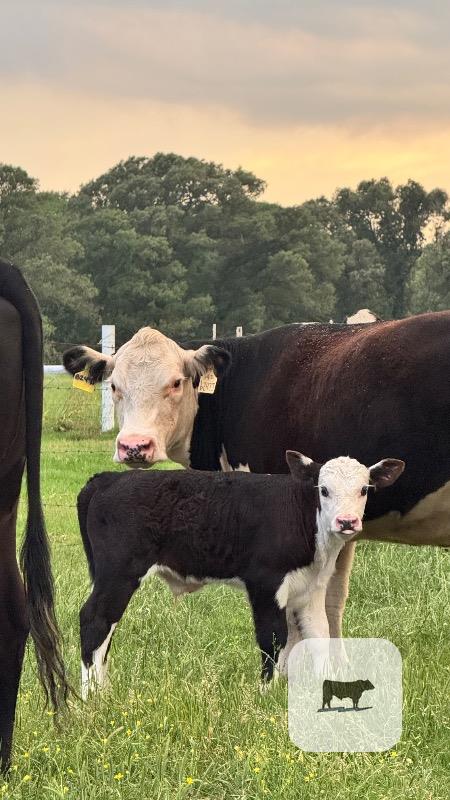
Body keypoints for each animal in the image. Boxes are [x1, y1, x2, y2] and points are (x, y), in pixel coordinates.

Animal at [76, 453, 404, 696]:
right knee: (95, 619)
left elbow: (319, 635)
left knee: (107, 629)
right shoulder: (266, 582)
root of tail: (109, 478)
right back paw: (92, 696)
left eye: (364, 489)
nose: (347, 522)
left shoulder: (311, 589)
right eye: (323, 490)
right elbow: (273, 637)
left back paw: (104, 690)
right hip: (119, 574)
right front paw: (266, 693)